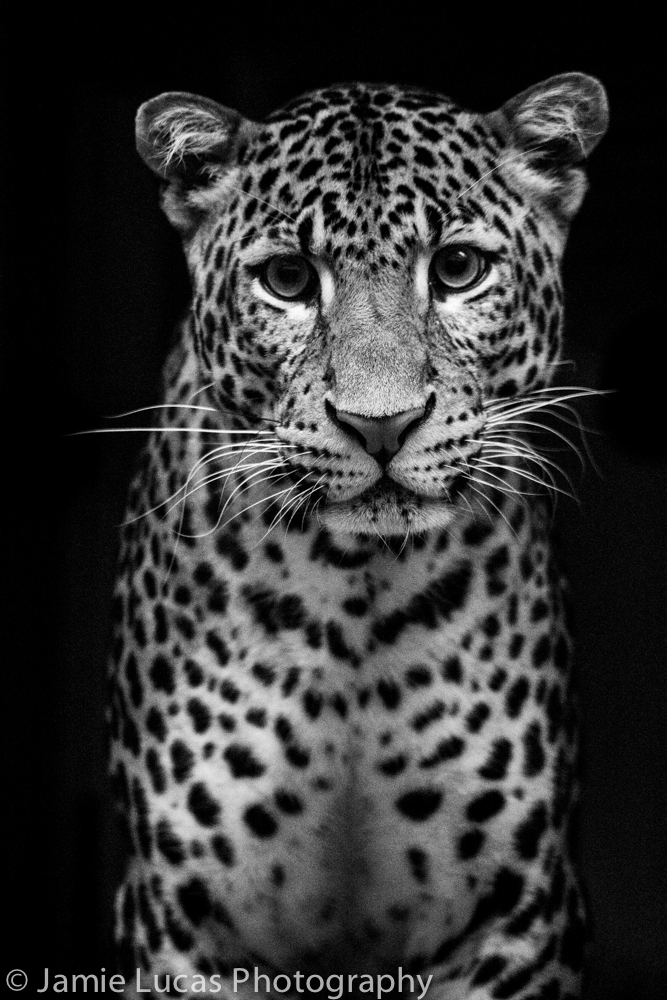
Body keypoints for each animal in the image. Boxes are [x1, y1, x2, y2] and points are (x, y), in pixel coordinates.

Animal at [108, 73, 608, 1000]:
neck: (356, 596)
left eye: (456, 269)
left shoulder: (519, 918)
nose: (381, 425)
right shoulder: (181, 921)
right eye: (287, 279)